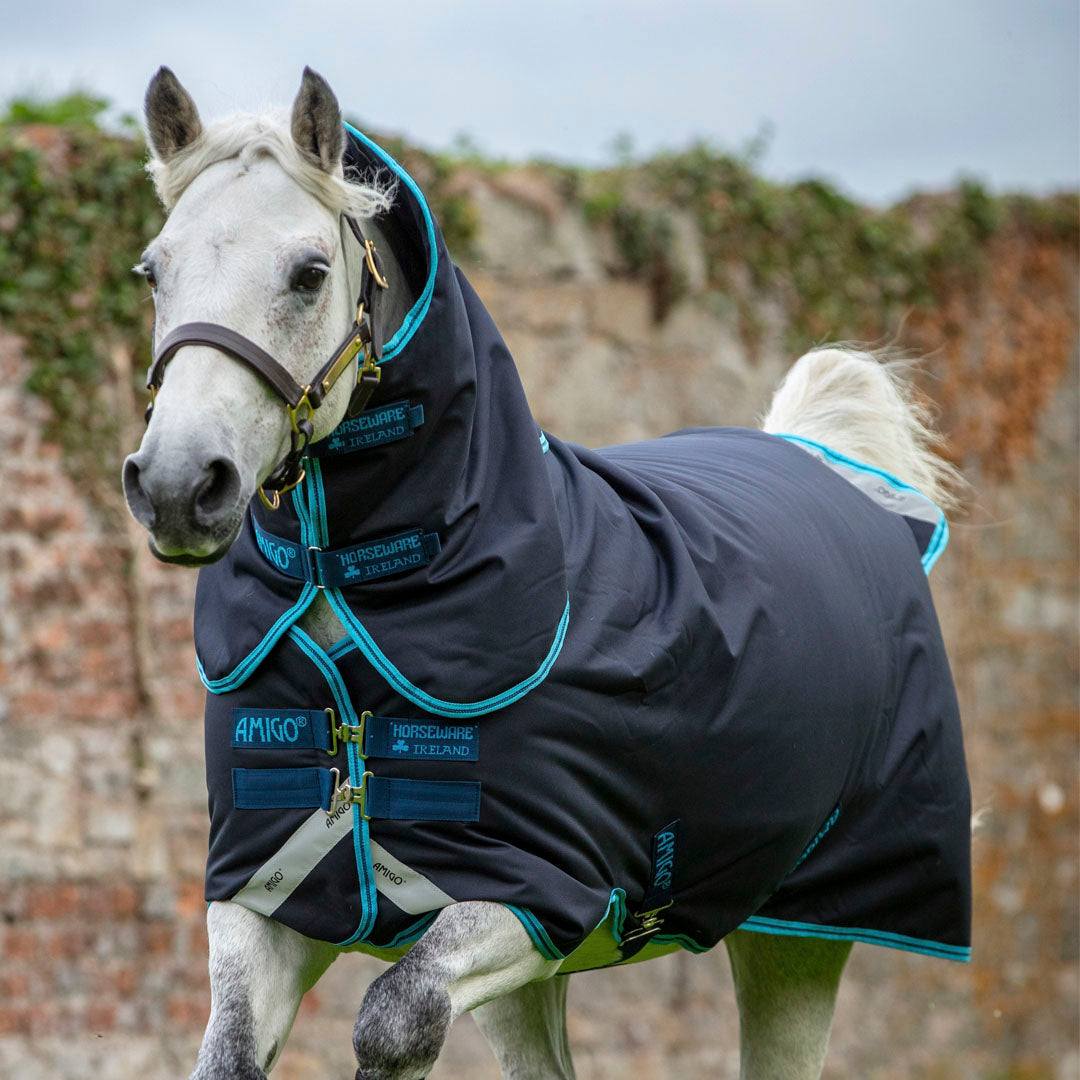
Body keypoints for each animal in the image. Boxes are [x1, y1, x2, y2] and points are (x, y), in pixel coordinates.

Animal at [122, 66, 972, 1080]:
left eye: (310, 273)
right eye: (153, 271)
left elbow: (396, 1017)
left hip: (800, 937)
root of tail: (820, 459)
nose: (178, 486)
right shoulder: (266, 894)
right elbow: (231, 1053)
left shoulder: (538, 896)